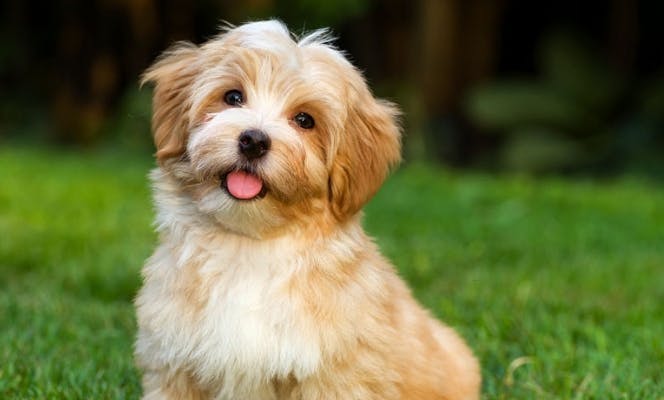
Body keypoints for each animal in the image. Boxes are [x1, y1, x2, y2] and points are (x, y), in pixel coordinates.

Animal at [135, 19, 480, 400]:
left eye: (304, 120)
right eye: (233, 97)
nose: (253, 140)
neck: (250, 245)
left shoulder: (335, 374)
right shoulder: (175, 361)